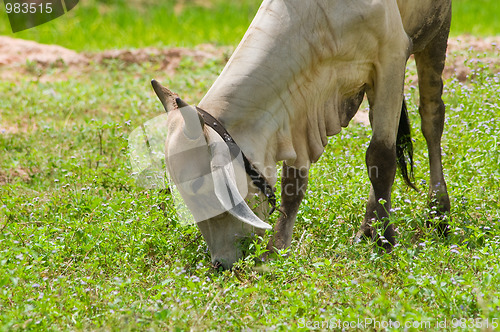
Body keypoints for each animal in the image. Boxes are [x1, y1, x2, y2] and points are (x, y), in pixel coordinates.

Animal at [150, 0, 452, 270]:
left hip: (437, 30)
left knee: (431, 118)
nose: (220, 264)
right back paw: (368, 226)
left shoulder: (391, 56)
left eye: (199, 188)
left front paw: (385, 240)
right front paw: (277, 249)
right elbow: (293, 184)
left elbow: (381, 158)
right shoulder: (298, 108)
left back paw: (439, 214)